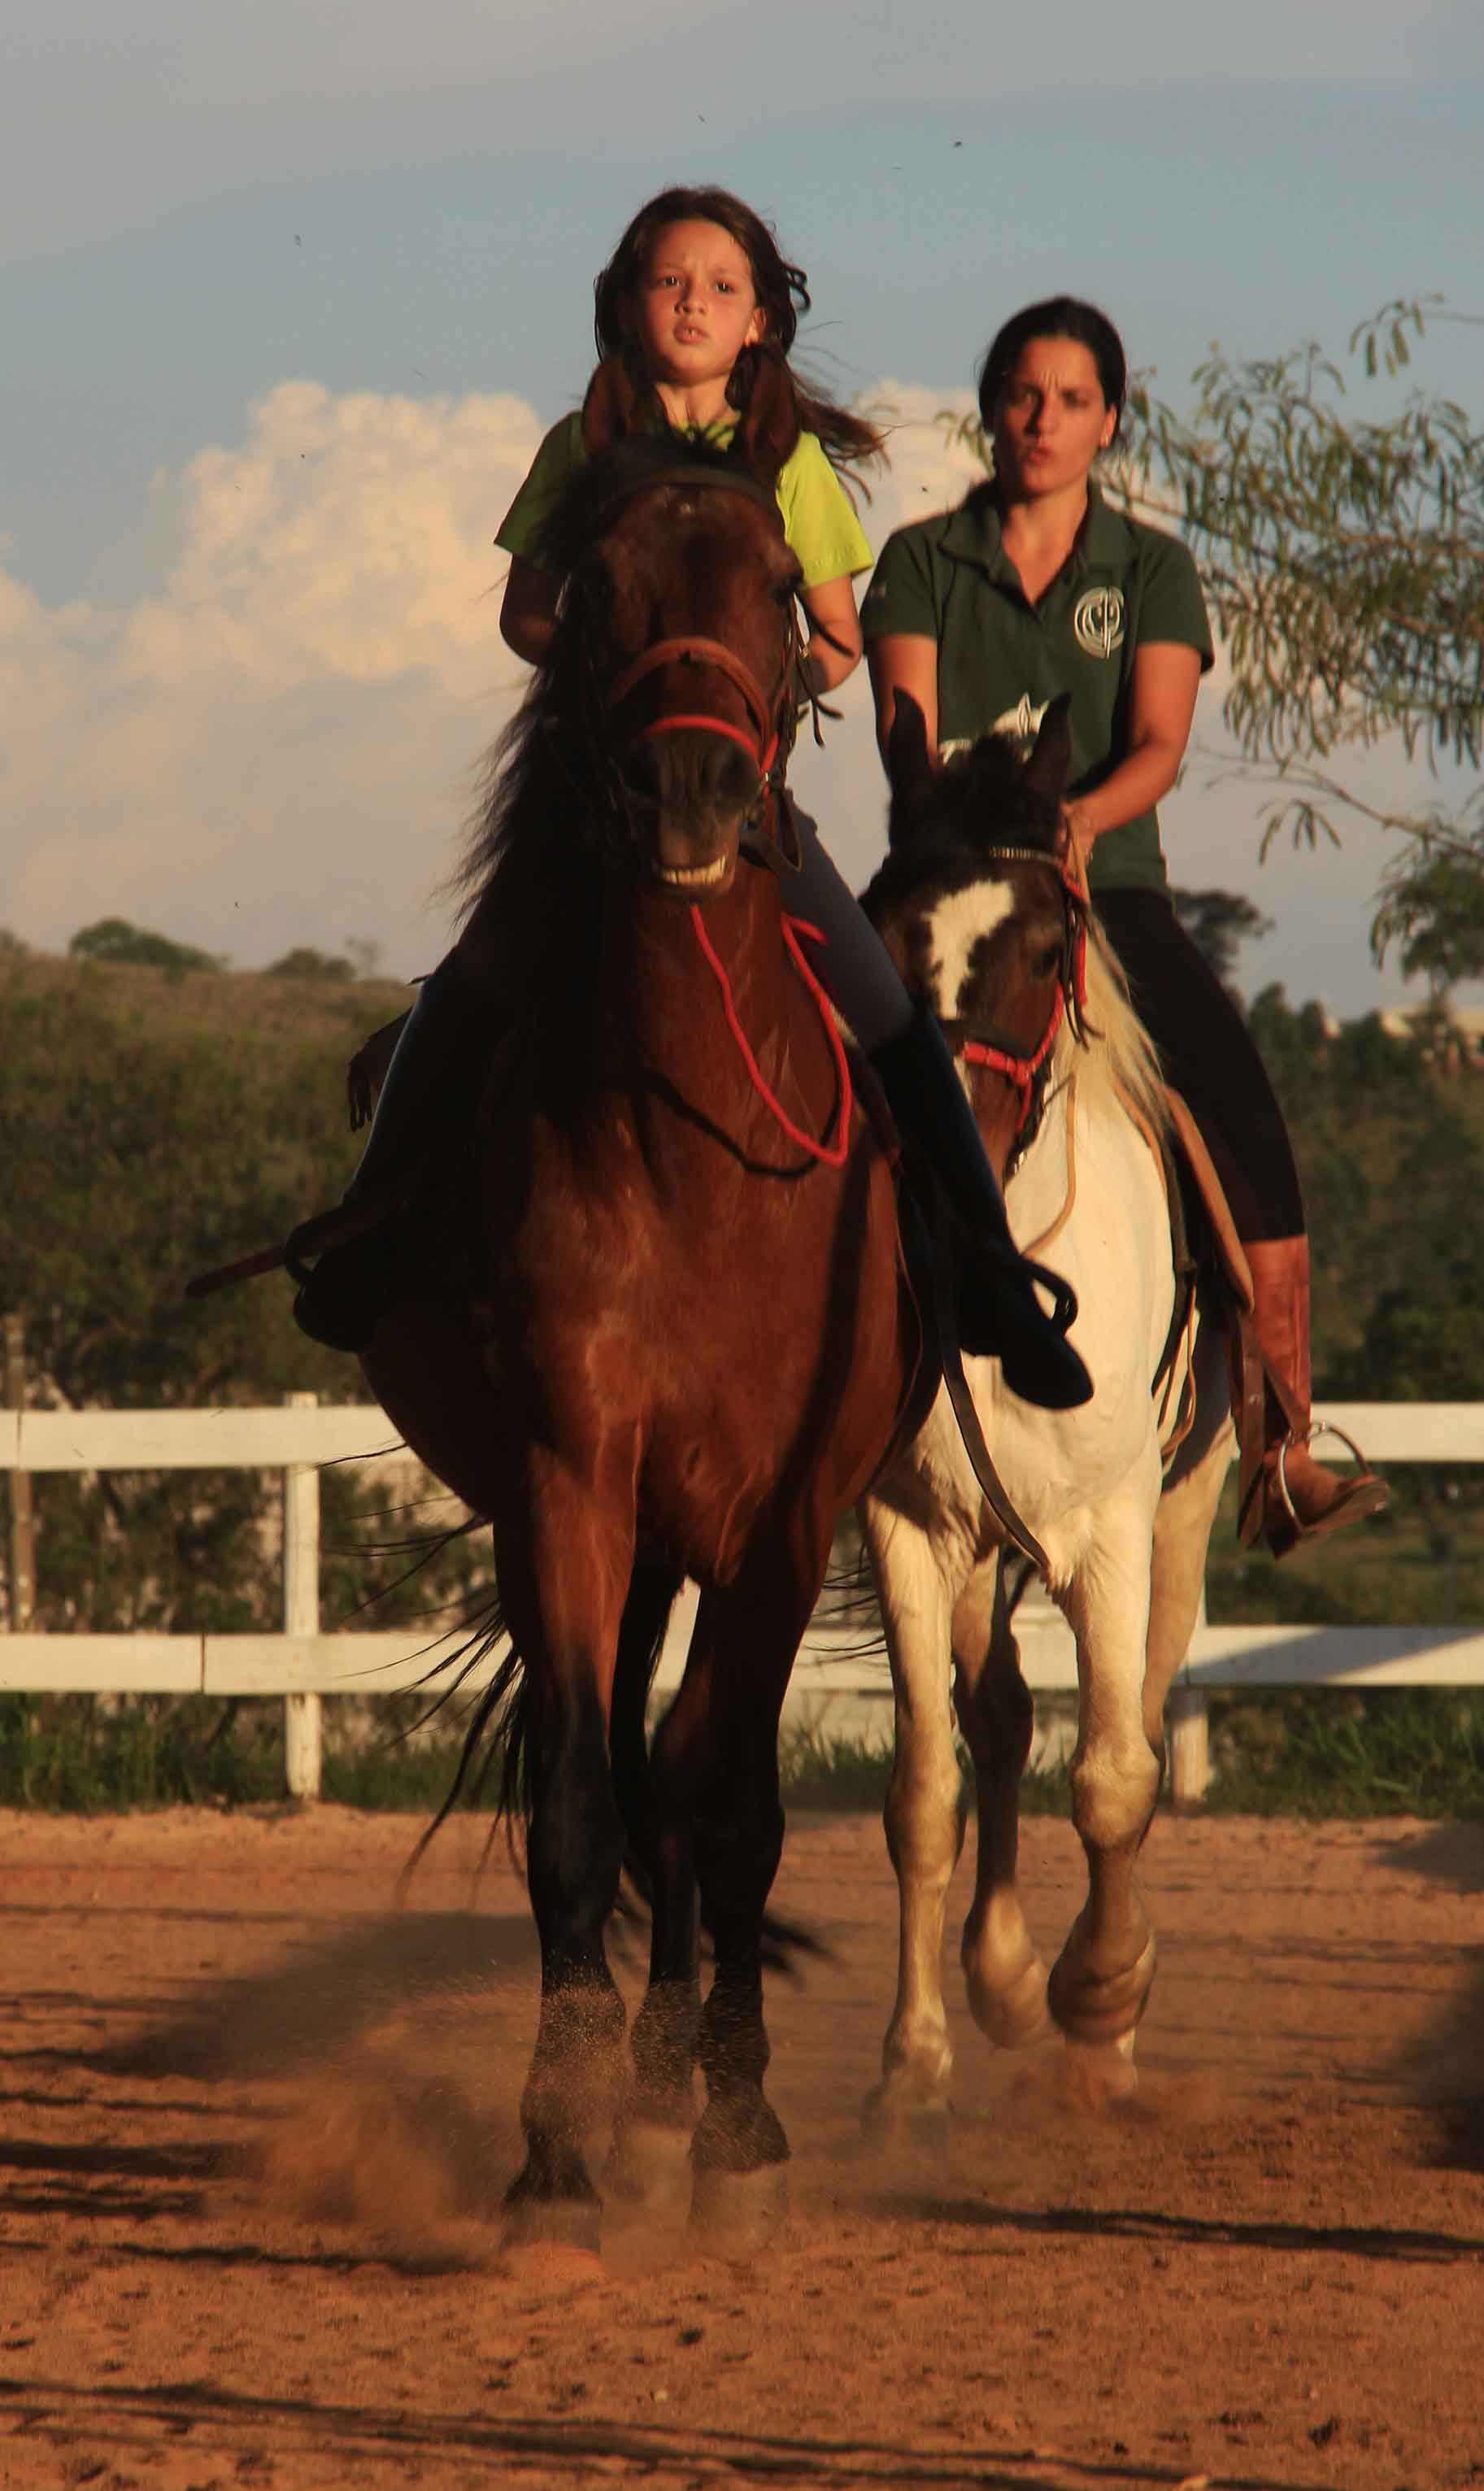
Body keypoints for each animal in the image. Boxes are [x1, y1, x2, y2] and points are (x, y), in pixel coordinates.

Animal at [355, 443, 916, 2262]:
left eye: (775, 584)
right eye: (594, 587)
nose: (690, 790)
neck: (691, 1151)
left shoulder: (786, 1516)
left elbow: (728, 1807)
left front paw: (733, 2123)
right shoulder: (566, 1486)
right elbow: (577, 1813)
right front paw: (558, 2143)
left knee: (677, 1771)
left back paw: (677, 2073)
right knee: (603, 1755)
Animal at [851, 702, 1234, 2122]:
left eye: (1035, 947)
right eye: (886, 933)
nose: (940, 1138)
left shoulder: (1115, 1528)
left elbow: (1117, 1773)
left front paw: (1101, 1989)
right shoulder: (908, 1528)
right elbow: (924, 1790)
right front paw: (914, 2059)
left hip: (1179, 1515)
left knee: (1137, 1713)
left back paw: (1090, 2022)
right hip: (981, 1547)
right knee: (1001, 1720)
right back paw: (1004, 1975)